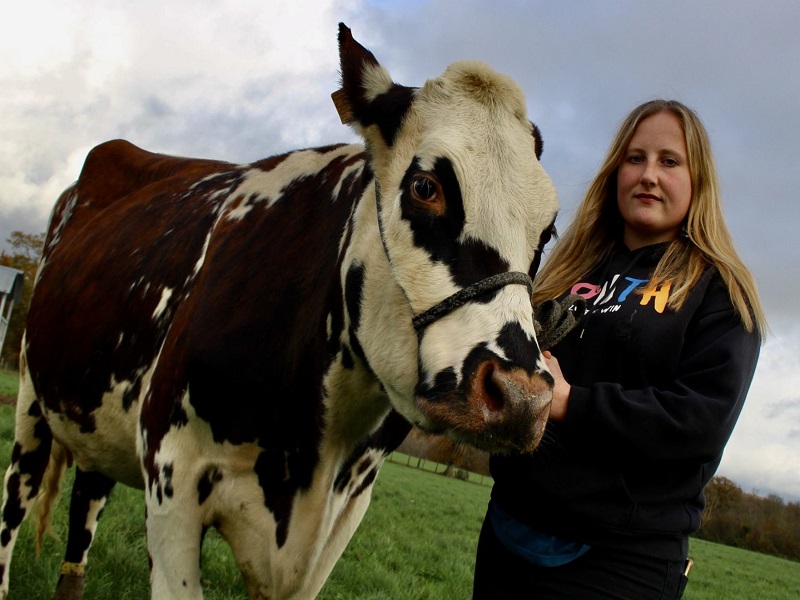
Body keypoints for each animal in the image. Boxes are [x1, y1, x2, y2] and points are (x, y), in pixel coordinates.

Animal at [0, 23, 560, 600]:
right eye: (425, 187)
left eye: (548, 231)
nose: (521, 398)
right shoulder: (171, 477)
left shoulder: (341, 516)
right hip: (31, 400)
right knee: (14, 505)